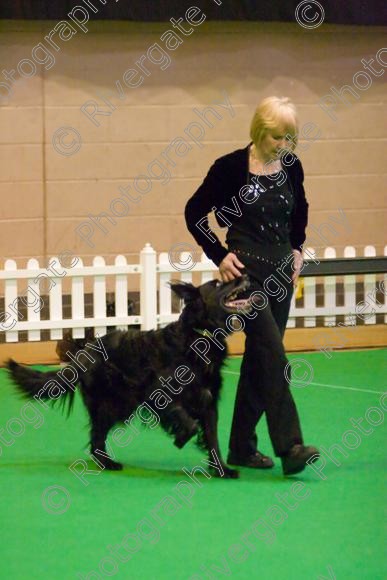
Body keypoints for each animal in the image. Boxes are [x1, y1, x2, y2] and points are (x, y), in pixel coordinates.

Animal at [9, 276, 253, 480]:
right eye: (218, 283)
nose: (244, 275)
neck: (198, 337)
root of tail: (84, 354)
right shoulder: (159, 394)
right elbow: (189, 423)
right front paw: (181, 438)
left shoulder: (208, 402)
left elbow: (212, 437)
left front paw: (222, 470)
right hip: (113, 404)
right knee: (97, 436)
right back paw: (108, 464)